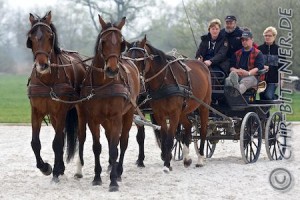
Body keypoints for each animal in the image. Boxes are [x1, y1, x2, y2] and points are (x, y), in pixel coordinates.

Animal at [25, 11, 87, 183]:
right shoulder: (36, 111)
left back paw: (78, 170)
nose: (42, 64)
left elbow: (57, 142)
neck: (48, 80)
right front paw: (46, 167)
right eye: (31, 37)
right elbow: (35, 143)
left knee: (80, 137)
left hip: (79, 110)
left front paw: (55, 172)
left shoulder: (60, 111)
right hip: (53, 116)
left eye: (50, 36)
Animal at [78, 15, 141, 191]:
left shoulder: (116, 117)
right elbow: (97, 147)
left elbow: (114, 148)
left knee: (123, 142)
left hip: (128, 114)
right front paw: (97, 177)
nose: (112, 69)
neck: (104, 84)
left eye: (121, 43)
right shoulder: (93, 119)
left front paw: (113, 181)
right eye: (103, 41)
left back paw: (118, 171)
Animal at [124, 35, 211, 171]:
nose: (135, 80)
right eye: (128, 58)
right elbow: (162, 137)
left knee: (203, 130)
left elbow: (170, 138)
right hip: (183, 111)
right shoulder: (158, 113)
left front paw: (166, 164)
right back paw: (186, 158)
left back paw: (200, 159)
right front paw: (165, 159)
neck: (164, 81)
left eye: (141, 58)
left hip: (203, 106)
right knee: (188, 126)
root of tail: (203, 65)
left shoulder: (174, 113)